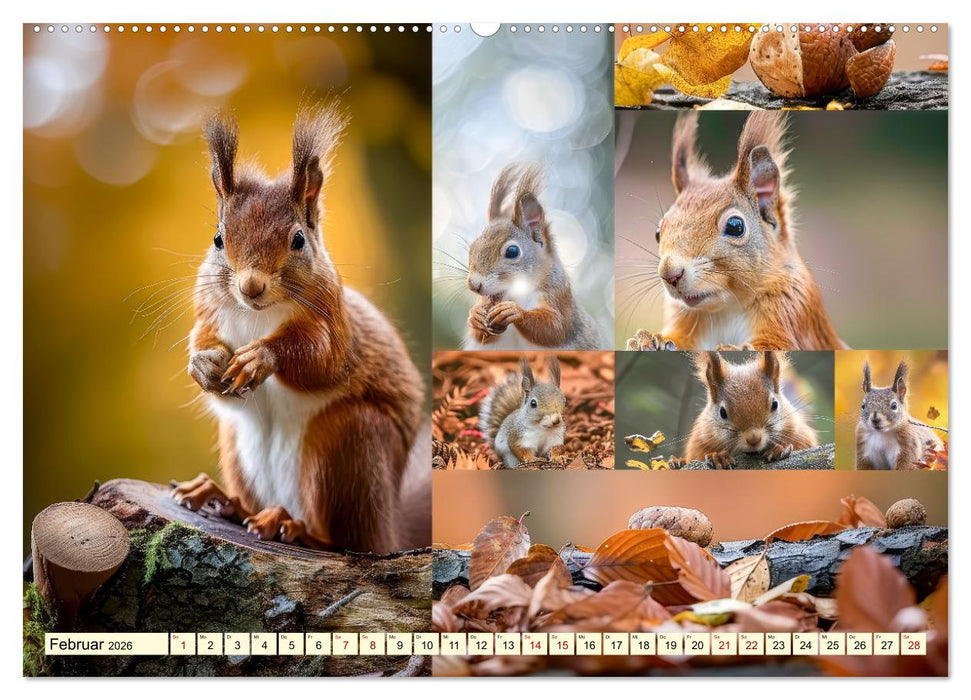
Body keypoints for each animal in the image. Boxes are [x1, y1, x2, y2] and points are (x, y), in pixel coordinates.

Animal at [170, 105, 429, 554]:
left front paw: (261, 357)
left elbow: (321, 359)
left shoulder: (334, 324)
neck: (258, 314)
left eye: (298, 240)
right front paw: (204, 364)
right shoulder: (209, 312)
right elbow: (201, 339)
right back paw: (222, 499)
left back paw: (293, 526)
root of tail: (390, 531)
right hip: (237, 445)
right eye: (218, 239)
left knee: (344, 541)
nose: (250, 286)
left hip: (348, 444)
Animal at [465, 163, 604, 351]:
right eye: (472, 247)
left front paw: (515, 312)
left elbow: (554, 328)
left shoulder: (559, 295)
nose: (474, 284)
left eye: (512, 251)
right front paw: (475, 316)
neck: (516, 293)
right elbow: (480, 335)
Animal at [625, 112, 845, 352]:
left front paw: (735, 349)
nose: (669, 274)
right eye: (658, 232)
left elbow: (777, 345)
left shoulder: (791, 311)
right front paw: (650, 339)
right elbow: (680, 339)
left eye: (735, 226)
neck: (728, 306)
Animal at [671, 351, 818, 469]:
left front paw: (779, 449)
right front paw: (719, 457)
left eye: (775, 404)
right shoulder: (701, 441)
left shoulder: (799, 434)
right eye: (722, 412)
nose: (753, 439)